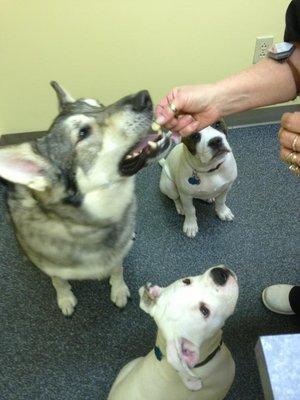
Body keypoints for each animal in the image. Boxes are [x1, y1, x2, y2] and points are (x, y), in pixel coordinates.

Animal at [0, 83, 170, 316]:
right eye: (83, 132)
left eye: (99, 104)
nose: (144, 97)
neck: (92, 225)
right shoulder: (52, 267)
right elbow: (58, 281)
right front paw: (65, 297)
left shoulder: (118, 253)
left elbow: (117, 269)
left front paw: (118, 289)